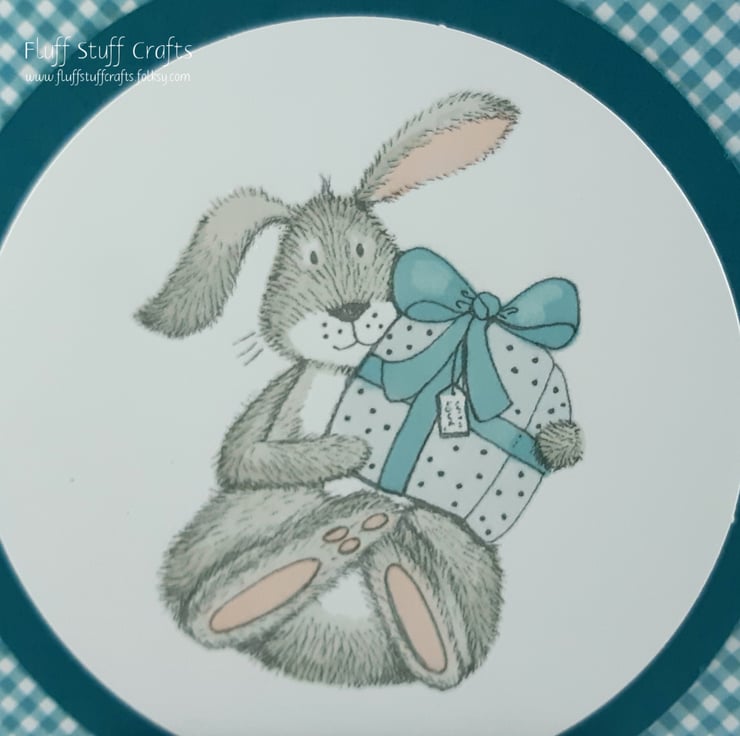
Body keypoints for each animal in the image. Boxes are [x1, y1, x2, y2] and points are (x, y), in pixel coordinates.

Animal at [136, 91, 524, 690]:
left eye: (365, 249)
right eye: (307, 258)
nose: (349, 311)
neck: (344, 372)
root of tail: (343, 654)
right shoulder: (277, 403)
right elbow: (244, 457)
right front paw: (351, 450)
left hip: (468, 563)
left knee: (450, 634)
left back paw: (381, 547)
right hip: (229, 527)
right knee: (207, 601)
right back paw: (344, 534)